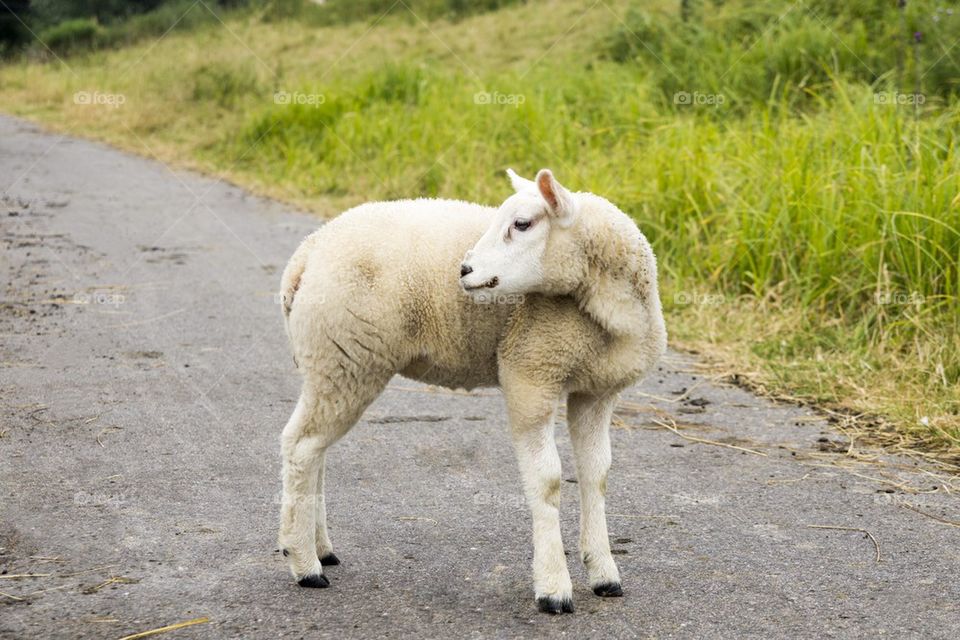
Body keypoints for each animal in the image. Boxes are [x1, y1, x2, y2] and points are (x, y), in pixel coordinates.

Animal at [277, 168, 667, 614]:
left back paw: (320, 548)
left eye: (522, 224)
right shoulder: (529, 372)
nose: (464, 270)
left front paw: (604, 573)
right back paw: (304, 564)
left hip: (331, 366)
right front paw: (553, 587)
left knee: (315, 449)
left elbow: (596, 475)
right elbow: (548, 480)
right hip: (345, 356)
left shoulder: (596, 392)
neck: (603, 307)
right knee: (301, 447)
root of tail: (305, 256)